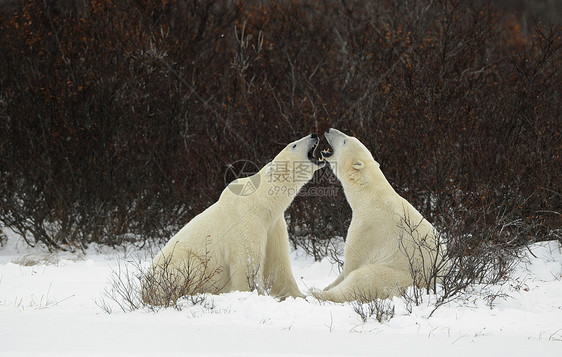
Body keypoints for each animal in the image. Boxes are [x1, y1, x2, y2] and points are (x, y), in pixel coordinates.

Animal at [142, 133, 322, 304]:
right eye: (294, 145)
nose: (314, 134)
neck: (261, 202)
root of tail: (145, 291)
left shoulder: (273, 224)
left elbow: (278, 262)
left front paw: (301, 296)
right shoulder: (245, 221)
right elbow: (247, 262)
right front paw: (255, 293)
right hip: (177, 266)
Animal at [312, 128, 444, 300]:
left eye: (345, 140)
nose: (329, 130)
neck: (370, 195)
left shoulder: (366, 230)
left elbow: (351, 265)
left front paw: (325, 289)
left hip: (397, 277)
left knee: (362, 278)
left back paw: (314, 293)